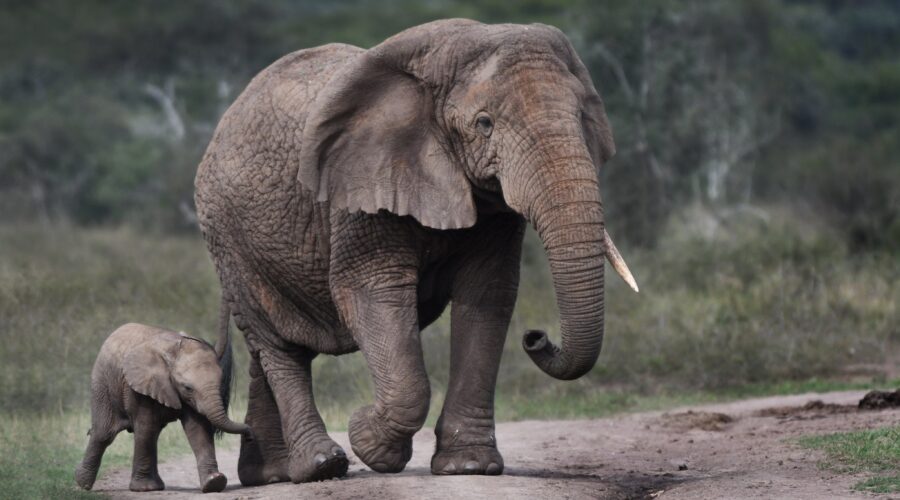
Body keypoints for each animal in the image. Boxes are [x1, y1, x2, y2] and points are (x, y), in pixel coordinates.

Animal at [74, 323, 252, 493]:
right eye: (187, 388)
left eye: (221, 382)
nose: (249, 435)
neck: (172, 352)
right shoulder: (139, 387)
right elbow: (146, 426)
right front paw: (143, 489)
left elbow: (198, 429)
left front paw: (214, 482)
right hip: (102, 382)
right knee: (104, 433)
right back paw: (83, 484)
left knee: (153, 434)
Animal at [194, 18, 637, 485]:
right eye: (484, 123)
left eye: (582, 116)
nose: (537, 337)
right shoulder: (361, 189)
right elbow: (372, 290)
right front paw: (370, 441)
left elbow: (488, 292)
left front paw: (469, 466)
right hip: (227, 234)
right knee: (277, 344)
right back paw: (321, 465)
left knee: (270, 346)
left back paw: (271, 475)